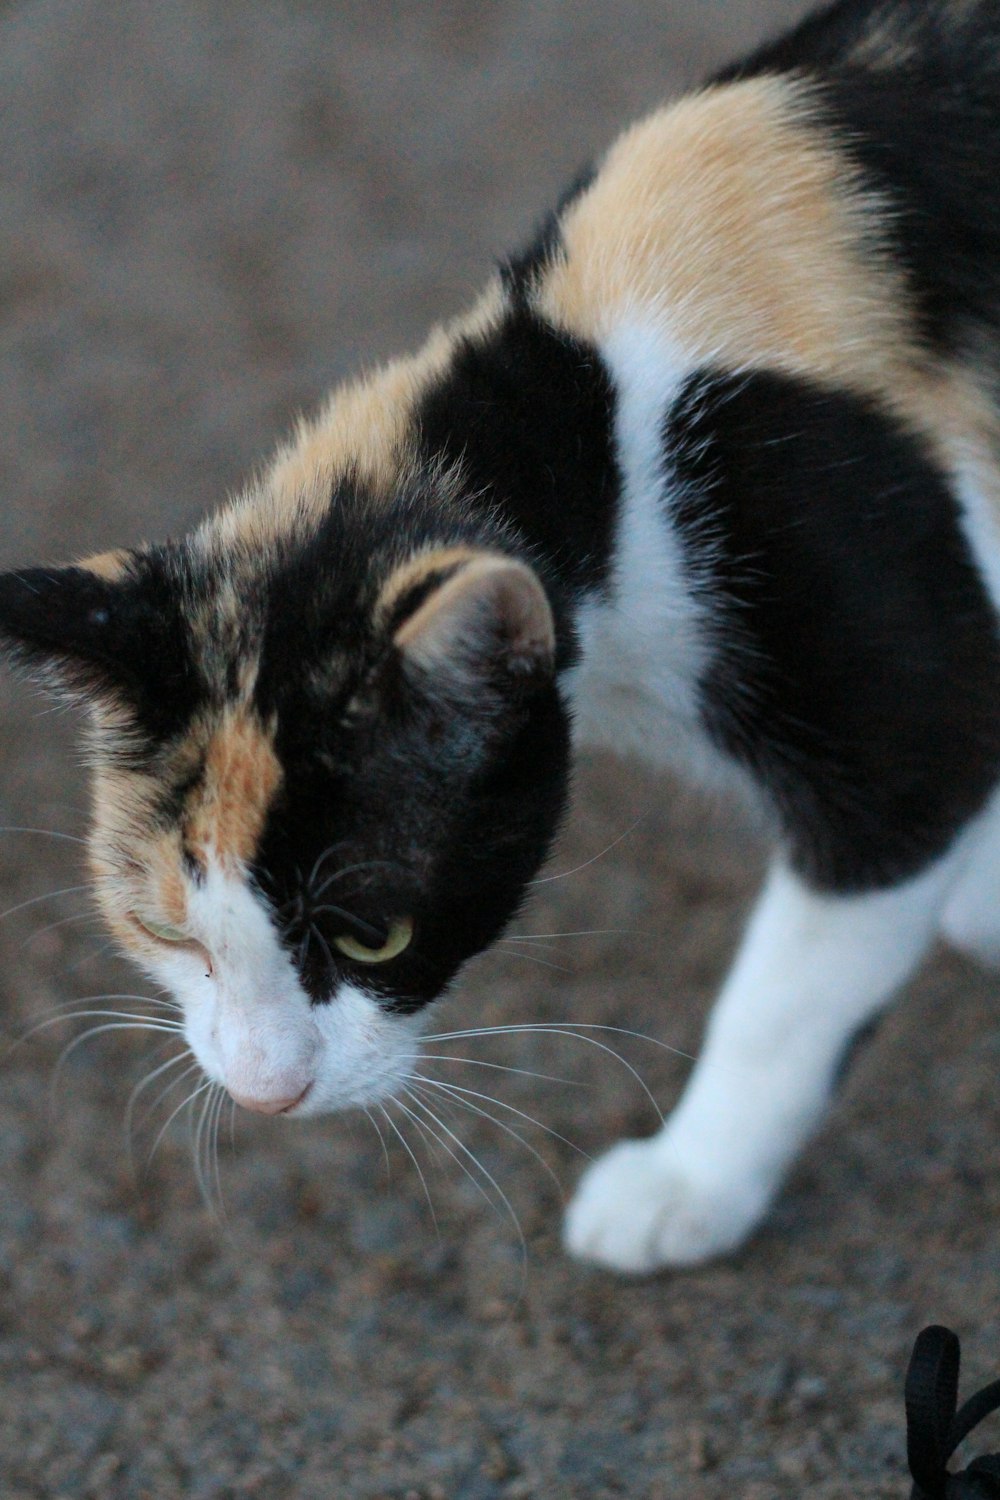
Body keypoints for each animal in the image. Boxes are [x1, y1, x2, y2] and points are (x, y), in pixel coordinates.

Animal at [1, 0, 1000, 1272]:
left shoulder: (885, 663)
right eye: (165, 928)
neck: (593, 427)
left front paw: (686, 1183)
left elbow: (788, 997)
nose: (266, 1094)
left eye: (374, 938)